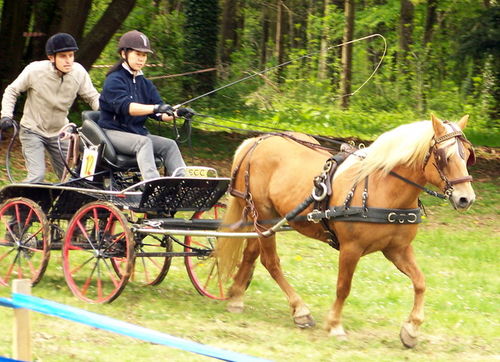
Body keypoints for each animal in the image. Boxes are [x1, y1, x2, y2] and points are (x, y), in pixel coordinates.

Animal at [217, 115, 474, 348]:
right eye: (445, 157)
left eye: (467, 155)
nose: (466, 199)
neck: (383, 188)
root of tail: (257, 141)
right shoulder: (351, 248)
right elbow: (344, 287)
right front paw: (335, 325)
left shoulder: (397, 249)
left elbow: (420, 282)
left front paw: (411, 329)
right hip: (263, 214)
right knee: (270, 262)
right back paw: (299, 310)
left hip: (263, 221)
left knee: (251, 253)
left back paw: (236, 297)